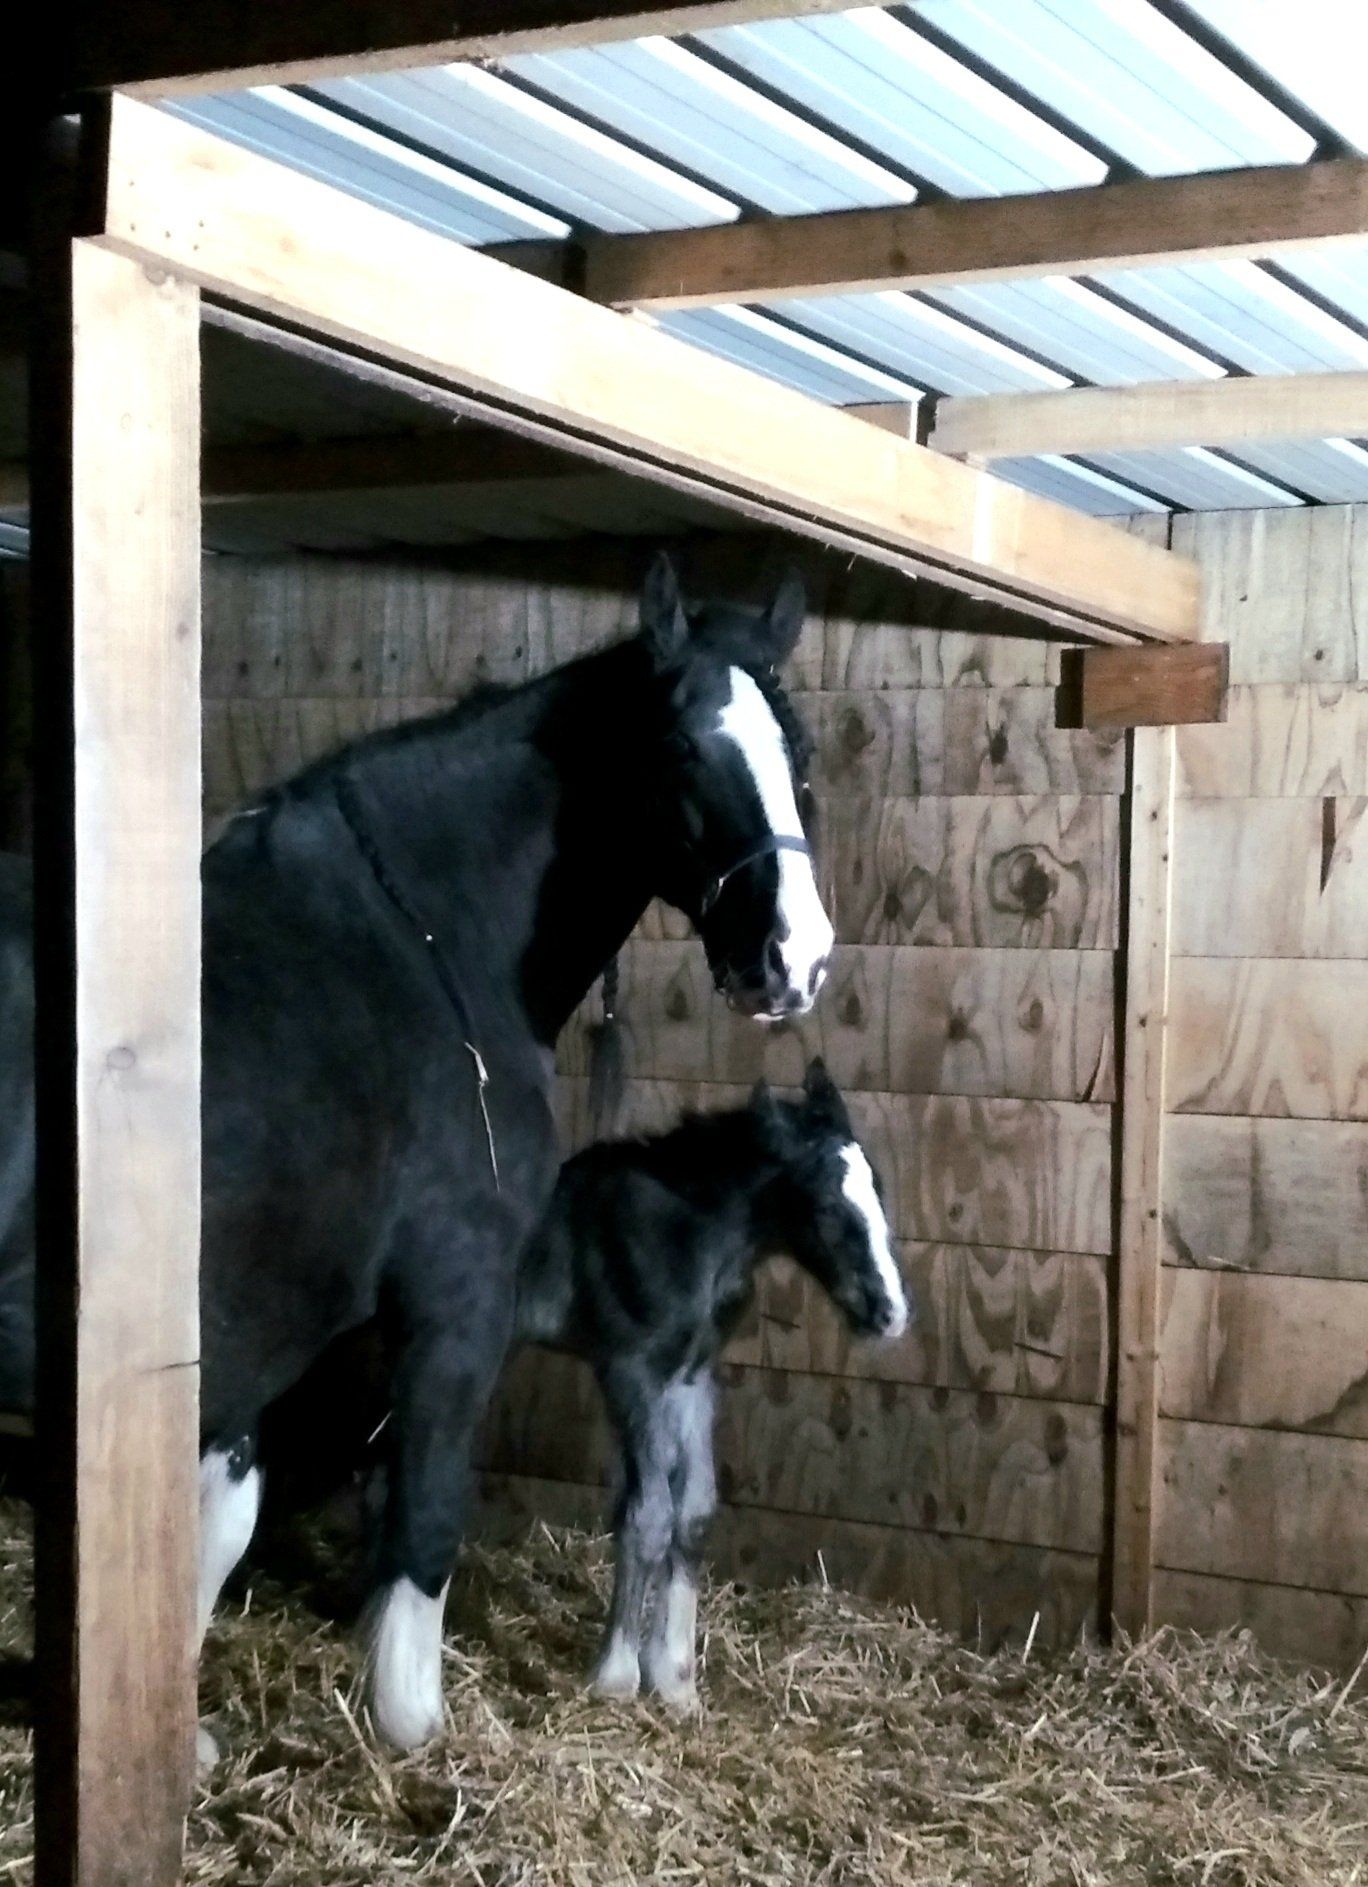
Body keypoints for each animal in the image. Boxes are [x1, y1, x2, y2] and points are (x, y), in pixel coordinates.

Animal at [0, 553, 834, 1752]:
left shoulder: (248, 1337)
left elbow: (221, 1518)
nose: (792, 960)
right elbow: (424, 1513)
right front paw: (410, 1725)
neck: (424, 945)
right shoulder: (453, 1302)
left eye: (800, 753)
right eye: (682, 748)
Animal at [514, 1057, 910, 1708]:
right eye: (827, 1209)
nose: (891, 1313)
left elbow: (695, 1509)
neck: (679, 1236)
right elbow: (647, 1513)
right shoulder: (631, 1373)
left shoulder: (690, 1378)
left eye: (878, 1189)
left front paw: (675, 1681)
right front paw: (616, 1677)